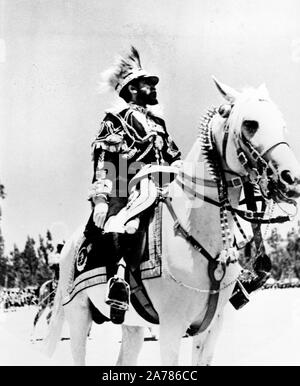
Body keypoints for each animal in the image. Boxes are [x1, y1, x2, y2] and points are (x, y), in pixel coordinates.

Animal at [43, 77, 300, 364]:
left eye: (281, 123)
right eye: (250, 124)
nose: (291, 179)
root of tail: (68, 247)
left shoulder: (211, 327)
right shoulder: (171, 327)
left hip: (131, 325)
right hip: (78, 315)